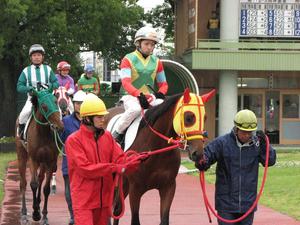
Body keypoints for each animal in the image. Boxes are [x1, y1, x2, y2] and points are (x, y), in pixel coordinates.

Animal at [15, 89, 63, 224]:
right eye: (44, 106)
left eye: (55, 102)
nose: (59, 126)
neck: (43, 133)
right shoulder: (33, 159)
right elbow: (33, 184)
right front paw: (35, 213)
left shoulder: (51, 160)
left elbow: (45, 188)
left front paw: (44, 215)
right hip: (22, 155)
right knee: (23, 183)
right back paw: (24, 213)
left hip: (43, 162)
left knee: (41, 178)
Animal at [108, 89, 216, 225]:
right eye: (188, 117)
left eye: (205, 118)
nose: (199, 153)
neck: (155, 149)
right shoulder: (135, 189)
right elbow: (135, 220)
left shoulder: (168, 187)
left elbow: (164, 220)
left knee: (117, 209)